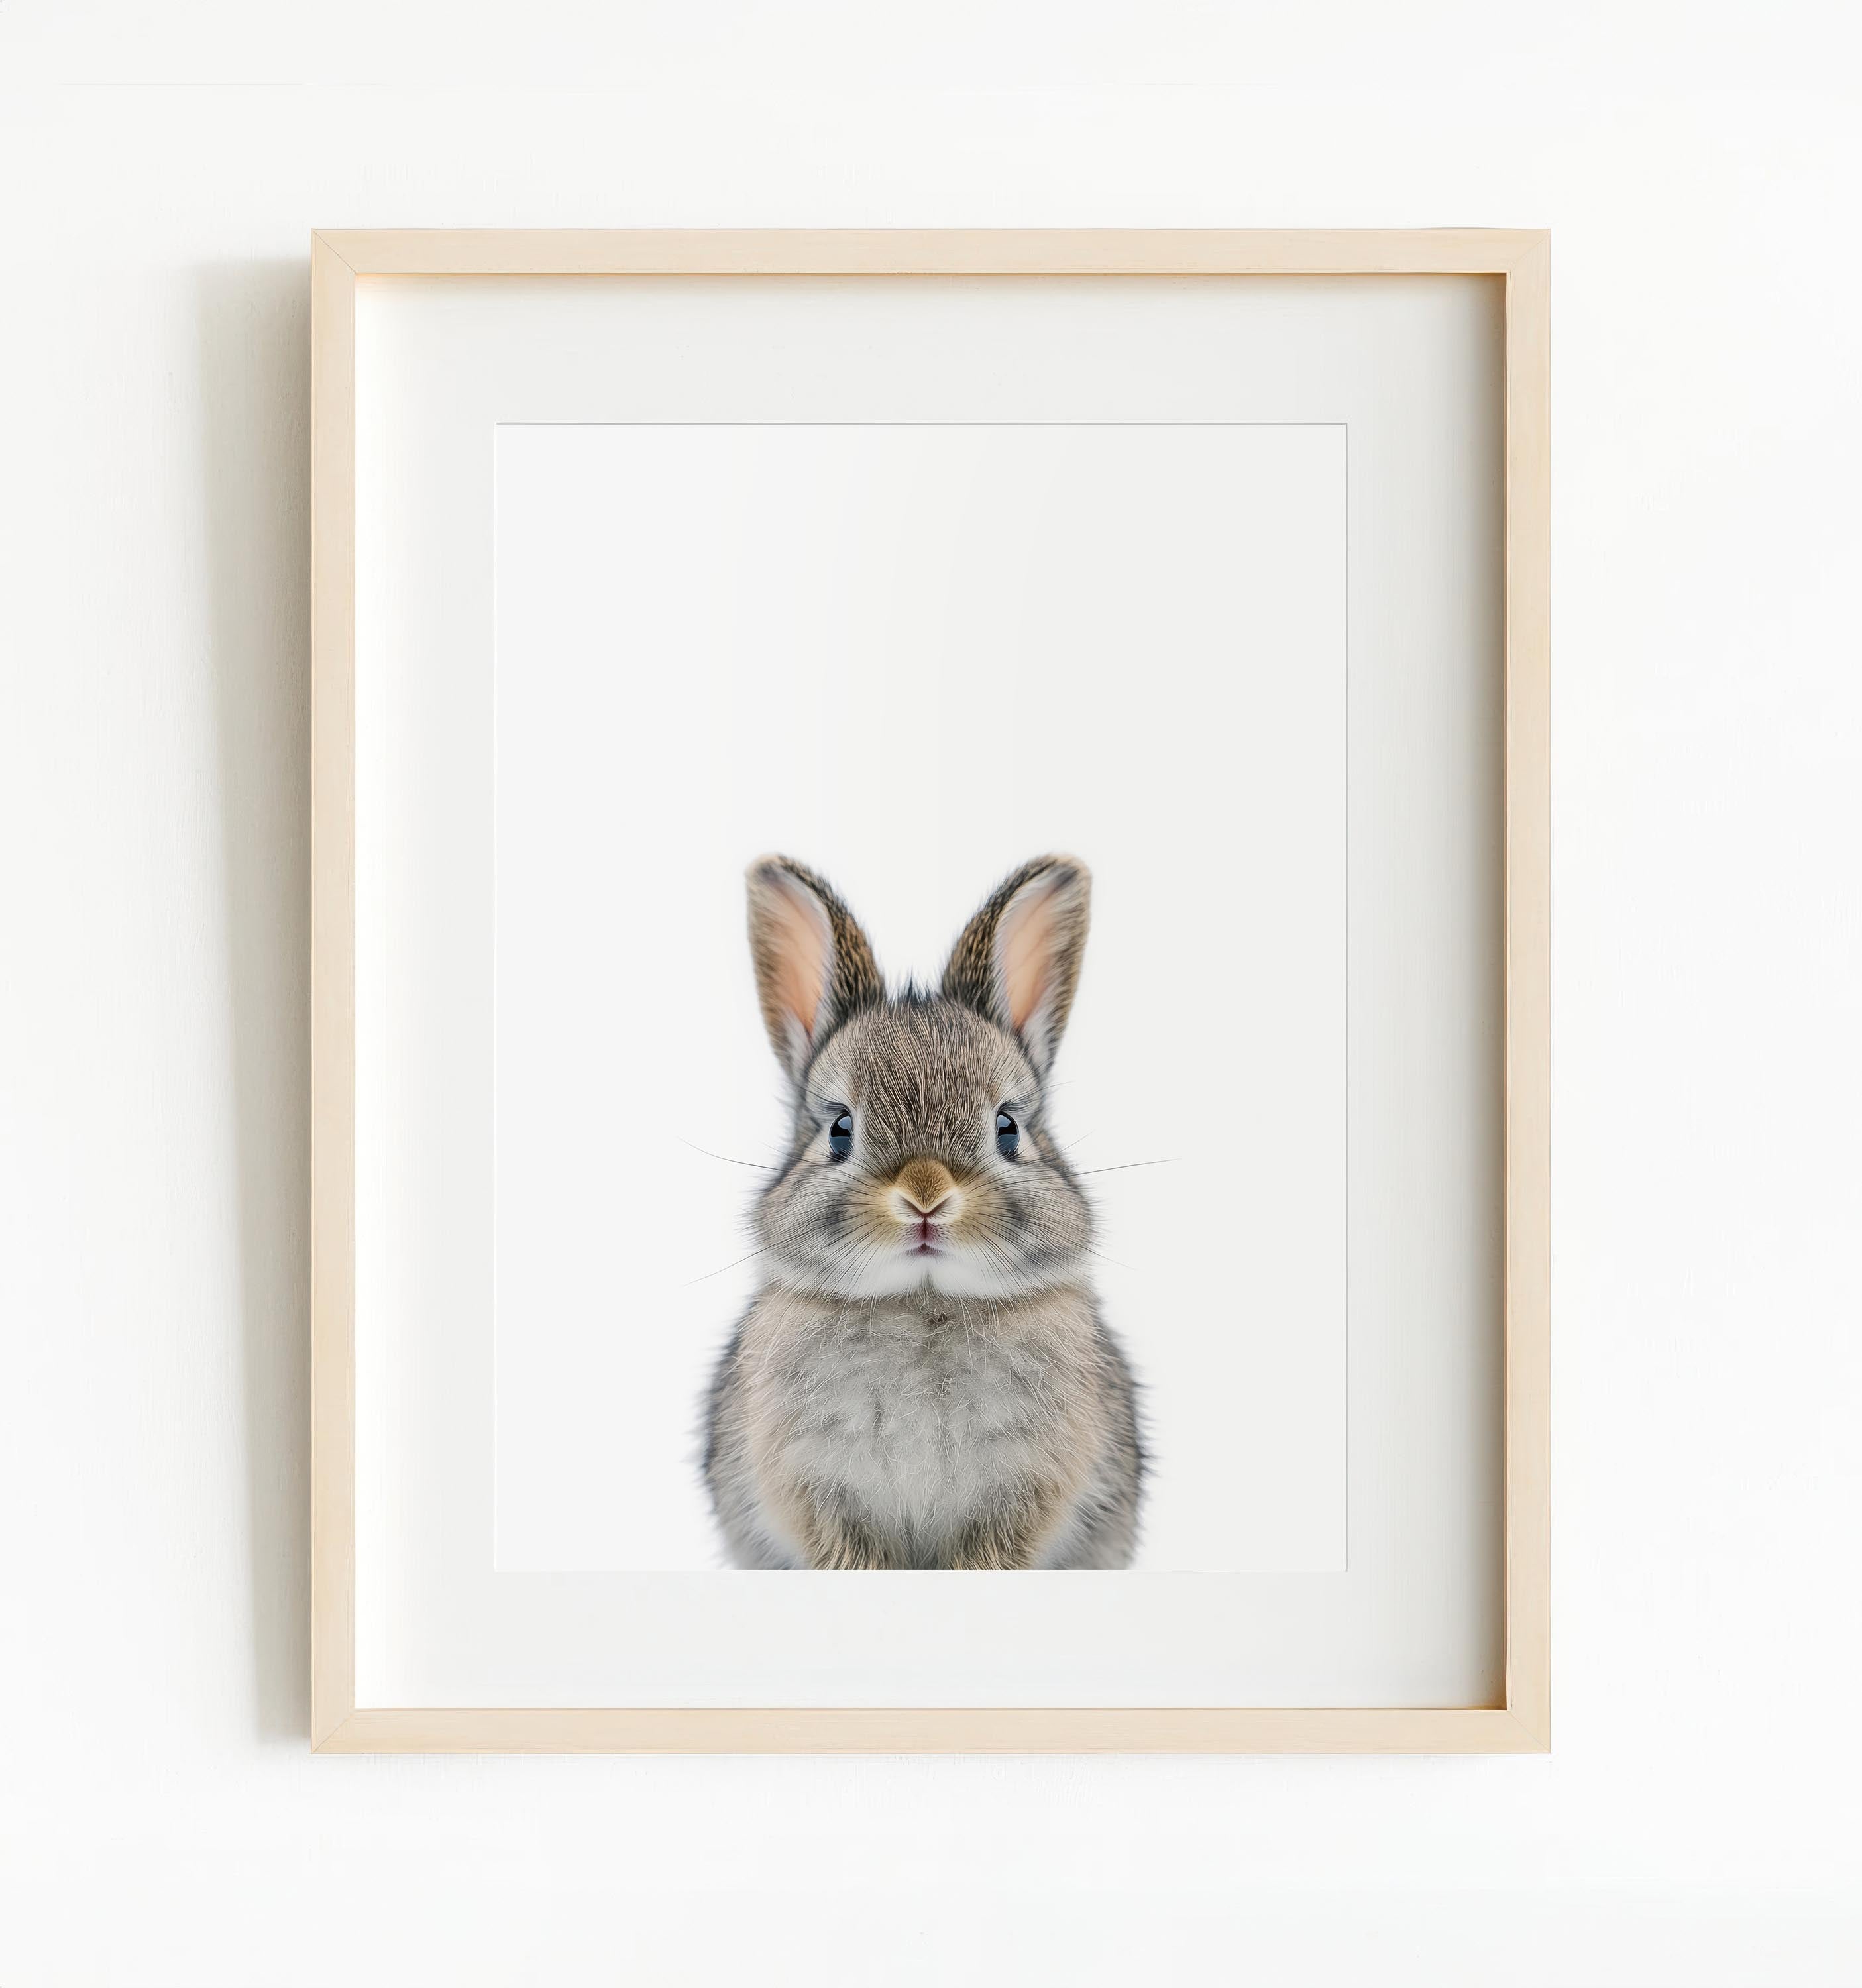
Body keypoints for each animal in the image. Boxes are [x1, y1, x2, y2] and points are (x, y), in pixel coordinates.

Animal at [701, 854, 1145, 1570]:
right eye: (841, 1130)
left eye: (1007, 1128)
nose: (926, 1195)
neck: (922, 1302)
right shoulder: (814, 1490)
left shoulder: (1028, 1489)